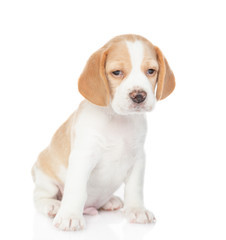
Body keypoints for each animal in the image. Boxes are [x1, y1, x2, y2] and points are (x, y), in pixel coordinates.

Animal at [31, 33, 176, 231]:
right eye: (117, 72)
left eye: (151, 71)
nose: (139, 96)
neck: (118, 119)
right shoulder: (83, 156)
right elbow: (76, 189)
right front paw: (70, 216)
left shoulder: (138, 157)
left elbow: (135, 188)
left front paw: (137, 210)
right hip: (44, 177)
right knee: (40, 197)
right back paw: (53, 205)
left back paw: (110, 201)